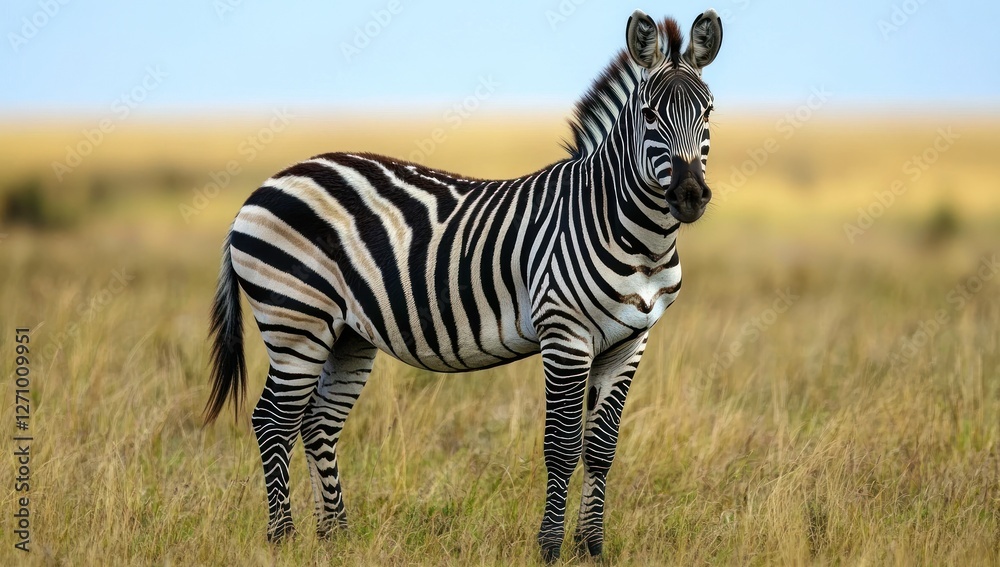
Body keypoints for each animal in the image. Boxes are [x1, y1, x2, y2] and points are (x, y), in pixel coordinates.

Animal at [204, 8, 723, 562]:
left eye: (709, 112)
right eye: (649, 114)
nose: (690, 196)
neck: (635, 236)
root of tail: (263, 187)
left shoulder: (631, 340)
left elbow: (601, 449)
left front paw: (592, 548)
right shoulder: (565, 335)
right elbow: (562, 446)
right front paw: (549, 548)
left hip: (346, 334)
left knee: (317, 423)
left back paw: (335, 536)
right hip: (295, 321)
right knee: (272, 422)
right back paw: (283, 538)